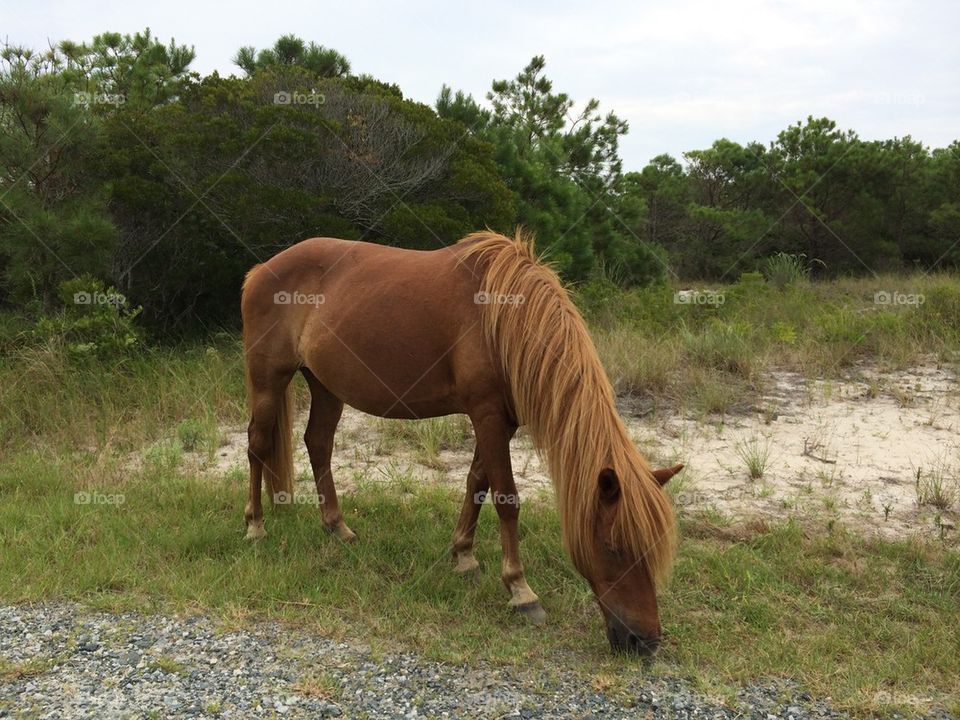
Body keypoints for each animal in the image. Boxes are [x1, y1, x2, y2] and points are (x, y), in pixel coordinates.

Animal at [241, 230, 682, 655]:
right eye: (614, 548)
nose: (645, 642)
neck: (504, 317)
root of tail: (260, 270)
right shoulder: (487, 415)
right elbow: (506, 498)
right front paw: (521, 590)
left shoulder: (502, 422)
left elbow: (477, 484)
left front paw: (464, 555)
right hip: (268, 379)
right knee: (257, 445)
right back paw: (256, 527)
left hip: (326, 386)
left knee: (318, 443)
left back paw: (337, 527)